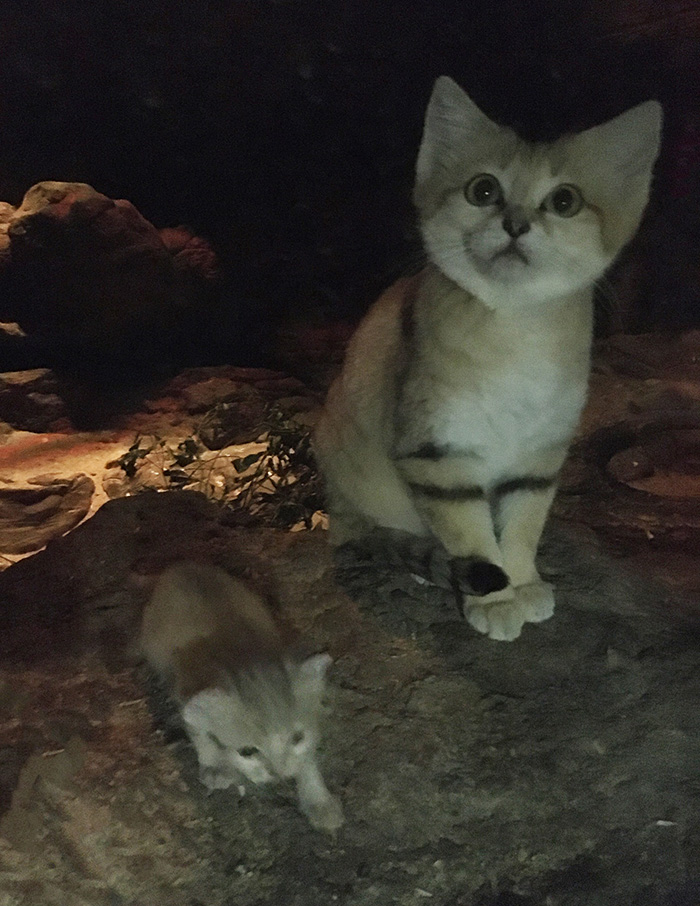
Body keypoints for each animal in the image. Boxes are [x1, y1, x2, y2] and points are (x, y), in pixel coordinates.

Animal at [139, 560, 342, 828]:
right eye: (247, 752)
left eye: (297, 737)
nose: (279, 776)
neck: (243, 658)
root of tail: (182, 566)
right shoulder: (186, 698)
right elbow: (202, 735)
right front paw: (215, 767)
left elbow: (307, 759)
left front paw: (319, 801)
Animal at [316, 77, 660, 644]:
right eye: (482, 190)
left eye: (564, 201)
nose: (516, 223)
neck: (515, 333)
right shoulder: (437, 453)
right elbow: (471, 535)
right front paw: (496, 600)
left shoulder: (539, 454)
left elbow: (522, 527)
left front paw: (522, 583)